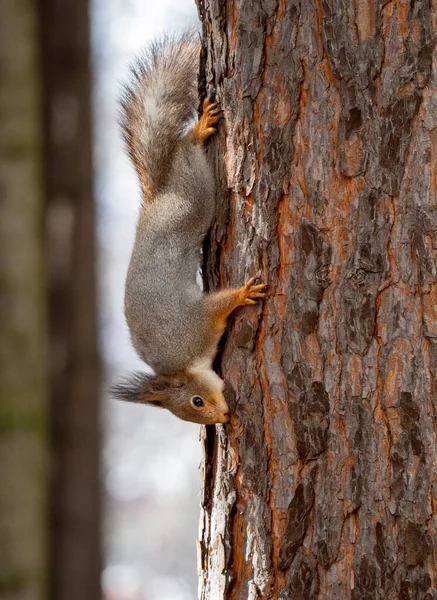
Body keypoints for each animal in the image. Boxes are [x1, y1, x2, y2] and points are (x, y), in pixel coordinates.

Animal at [110, 34, 264, 426]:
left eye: (196, 401)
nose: (223, 417)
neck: (183, 363)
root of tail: (158, 196)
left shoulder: (197, 322)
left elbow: (220, 303)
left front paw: (244, 293)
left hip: (194, 195)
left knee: (185, 149)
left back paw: (198, 130)